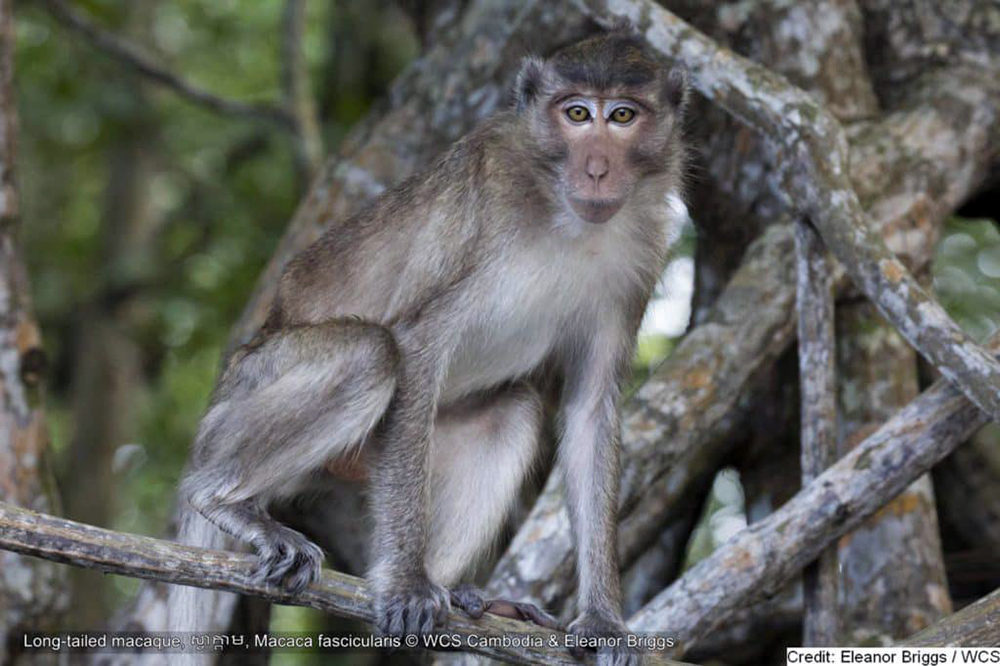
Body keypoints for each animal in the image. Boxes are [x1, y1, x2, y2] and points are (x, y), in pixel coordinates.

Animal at [169, 27, 689, 666]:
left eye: (622, 116)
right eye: (575, 114)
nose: (596, 169)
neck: (565, 214)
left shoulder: (639, 259)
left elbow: (591, 410)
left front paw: (604, 619)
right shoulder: (486, 210)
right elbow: (416, 347)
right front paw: (406, 584)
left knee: (510, 409)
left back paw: (458, 592)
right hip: (244, 397)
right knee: (372, 353)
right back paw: (224, 501)